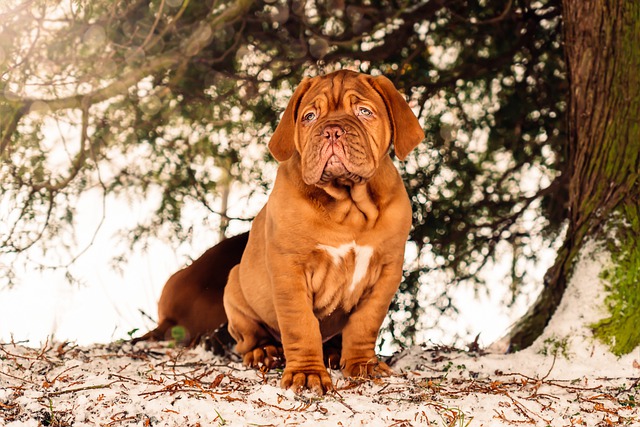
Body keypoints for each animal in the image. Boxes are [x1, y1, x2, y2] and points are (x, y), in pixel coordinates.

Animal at [222, 70, 422, 394]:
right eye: (309, 116)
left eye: (364, 112)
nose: (332, 131)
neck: (347, 204)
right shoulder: (290, 270)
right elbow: (300, 324)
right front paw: (306, 373)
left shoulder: (387, 271)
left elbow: (365, 321)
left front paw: (363, 364)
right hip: (235, 288)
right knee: (249, 336)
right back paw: (264, 352)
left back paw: (335, 353)